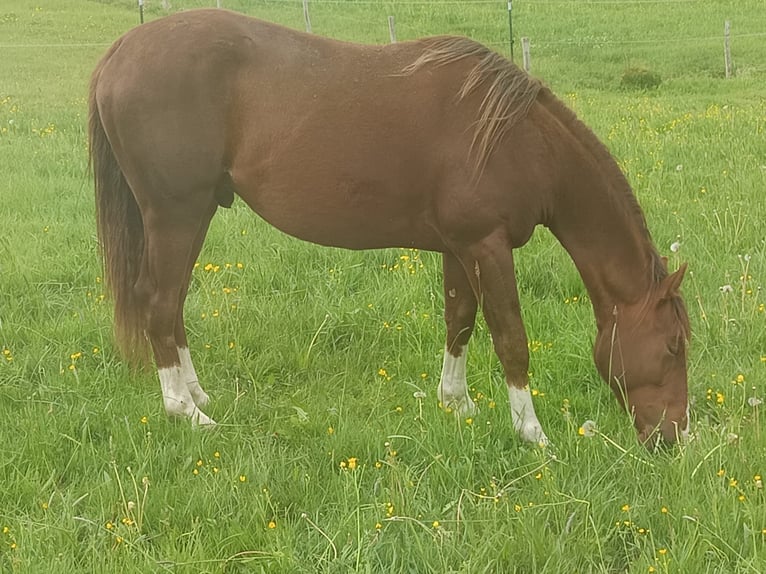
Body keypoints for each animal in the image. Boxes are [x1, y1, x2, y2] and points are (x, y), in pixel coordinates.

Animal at [89, 9, 690, 447]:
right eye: (673, 346)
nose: (676, 438)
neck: (517, 139)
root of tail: (121, 51)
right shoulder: (487, 246)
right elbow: (511, 339)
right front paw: (532, 433)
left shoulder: (460, 248)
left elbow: (459, 323)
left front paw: (458, 405)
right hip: (176, 213)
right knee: (159, 301)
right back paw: (184, 411)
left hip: (191, 216)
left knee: (172, 304)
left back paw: (197, 395)